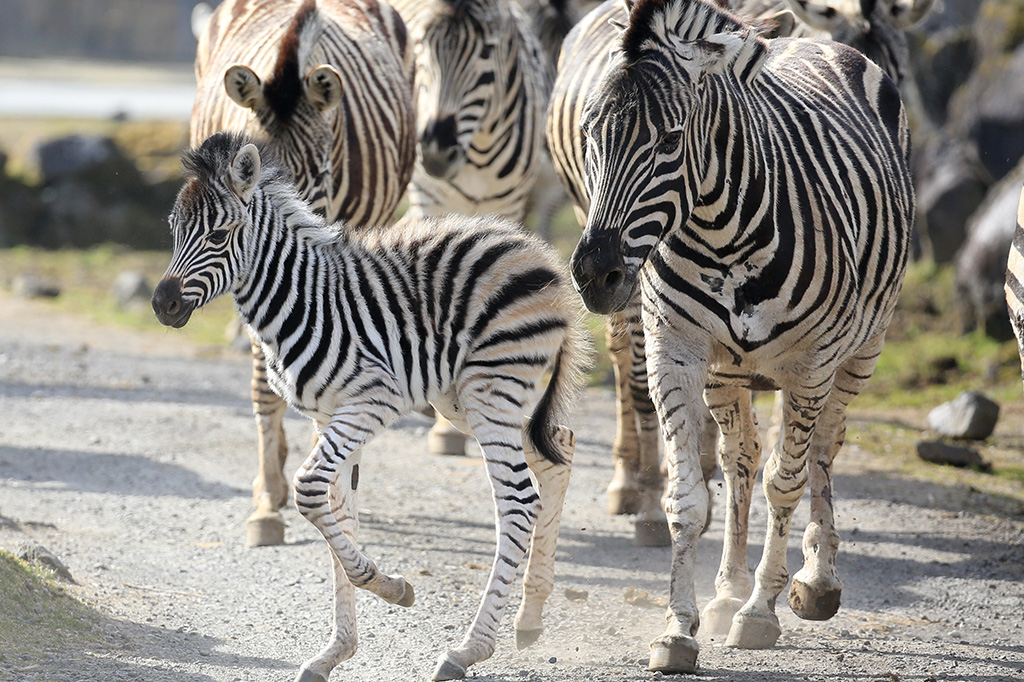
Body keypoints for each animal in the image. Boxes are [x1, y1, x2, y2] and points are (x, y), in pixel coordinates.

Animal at [565, 0, 917, 667]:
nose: (596, 274)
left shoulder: (810, 365)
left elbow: (787, 482)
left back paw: (814, 580)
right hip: (729, 372)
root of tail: (816, 40)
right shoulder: (676, 352)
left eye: (670, 140)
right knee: (740, 460)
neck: (720, 235)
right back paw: (727, 590)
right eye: (591, 134)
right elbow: (688, 497)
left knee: (823, 448)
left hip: (862, 349)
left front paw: (760, 613)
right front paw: (679, 629)